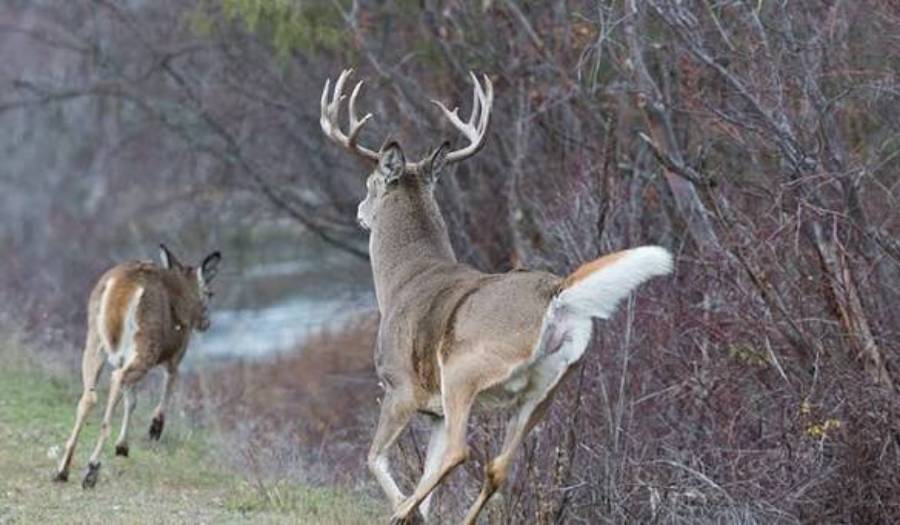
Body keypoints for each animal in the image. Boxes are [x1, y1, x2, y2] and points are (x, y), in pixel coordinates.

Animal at [52, 244, 221, 489]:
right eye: (209, 293)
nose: (206, 323)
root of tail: (123, 285)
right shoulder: (176, 356)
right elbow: (168, 386)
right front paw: (154, 429)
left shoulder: (126, 356)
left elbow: (132, 400)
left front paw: (122, 446)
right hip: (146, 344)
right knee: (117, 379)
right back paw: (92, 469)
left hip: (95, 339)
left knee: (89, 396)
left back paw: (62, 470)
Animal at [321, 68, 673, 524]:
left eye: (370, 184)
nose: (360, 213)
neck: (401, 281)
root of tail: (555, 293)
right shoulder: (435, 410)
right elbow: (427, 480)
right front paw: (419, 514)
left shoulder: (401, 385)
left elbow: (375, 458)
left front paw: (402, 510)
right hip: (548, 385)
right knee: (499, 466)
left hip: (464, 368)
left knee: (461, 452)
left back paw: (399, 515)